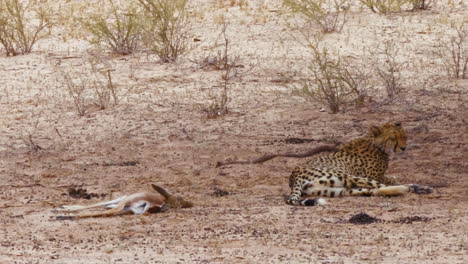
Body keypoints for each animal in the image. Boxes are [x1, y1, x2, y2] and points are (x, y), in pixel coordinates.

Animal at [288, 122, 434, 206]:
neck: (375, 143)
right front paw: (396, 179)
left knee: (374, 190)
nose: (403, 148)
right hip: (347, 177)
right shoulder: (375, 176)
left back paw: (415, 189)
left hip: (336, 189)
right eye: (393, 138)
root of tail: (294, 175)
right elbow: (390, 179)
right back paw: (412, 188)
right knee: (381, 187)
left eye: (404, 136)